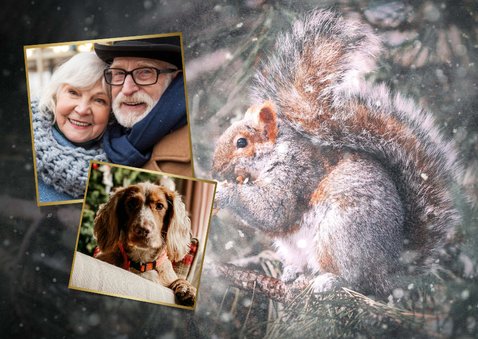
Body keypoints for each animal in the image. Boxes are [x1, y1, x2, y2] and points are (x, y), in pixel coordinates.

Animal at [211, 9, 462, 296]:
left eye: (241, 142)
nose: (215, 169)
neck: (274, 154)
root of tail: (391, 271)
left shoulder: (294, 173)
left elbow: (273, 210)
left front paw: (225, 191)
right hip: (295, 247)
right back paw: (292, 273)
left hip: (341, 233)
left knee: (356, 280)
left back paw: (330, 280)